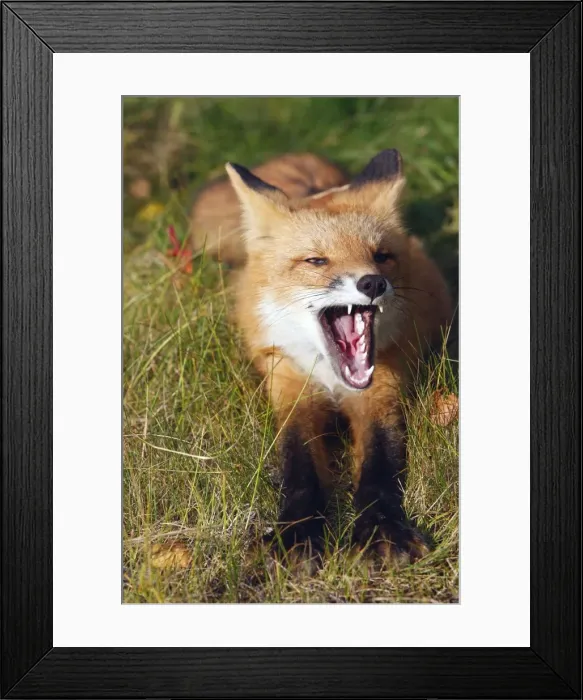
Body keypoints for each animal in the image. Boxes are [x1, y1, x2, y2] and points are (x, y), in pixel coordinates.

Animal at [190, 150, 452, 564]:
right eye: (316, 261)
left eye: (381, 256)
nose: (372, 283)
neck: (332, 380)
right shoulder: (288, 385)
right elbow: (299, 468)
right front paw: (296, 536)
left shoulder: (381, 389)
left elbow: (381, 464)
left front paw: (383, 530)